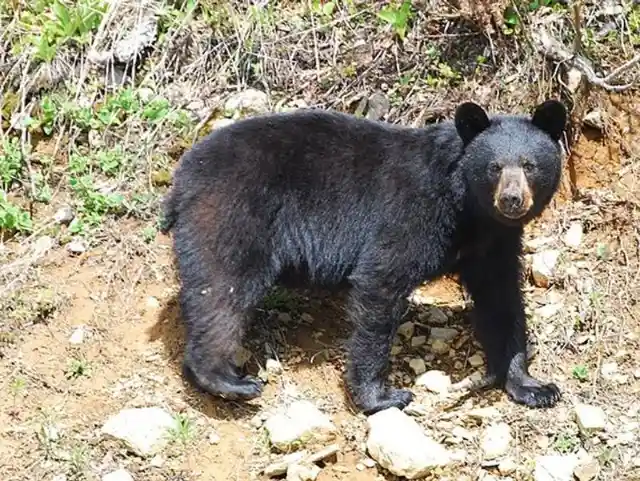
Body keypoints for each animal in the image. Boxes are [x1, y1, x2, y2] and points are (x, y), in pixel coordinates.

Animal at [162, 99, 568, 414]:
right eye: (494, 167)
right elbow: (381, 282)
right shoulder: (413, 213)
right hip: (232, 211)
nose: (511, 199)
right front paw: (382, 396)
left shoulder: (493, 244)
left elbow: (501, 301)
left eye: (530, 164)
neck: (469, 211)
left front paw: (532, 385)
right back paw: (226, 379)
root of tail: (181, 179)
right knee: (223, 289)